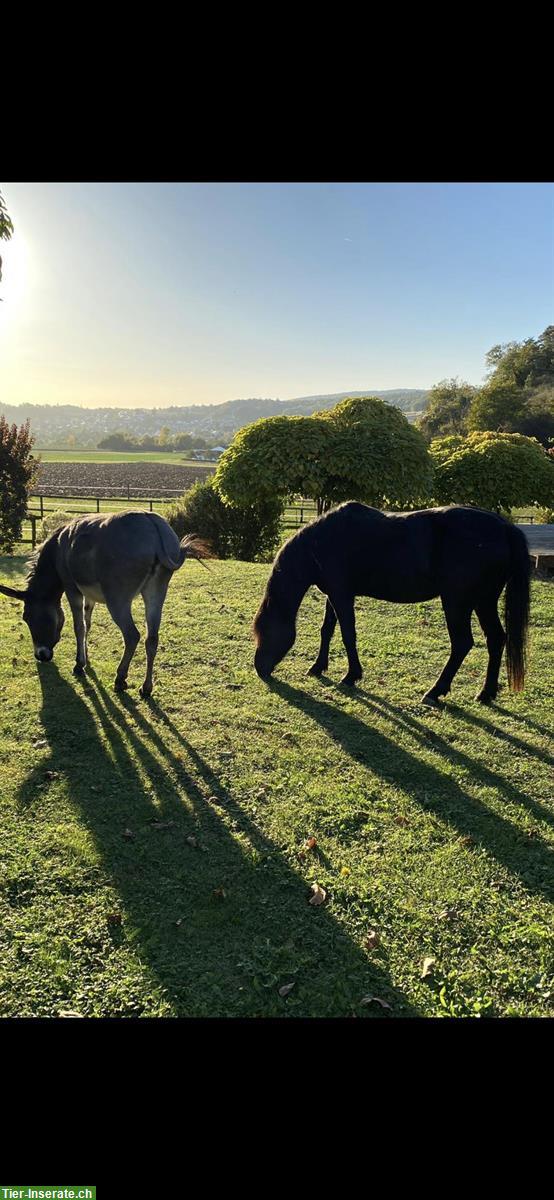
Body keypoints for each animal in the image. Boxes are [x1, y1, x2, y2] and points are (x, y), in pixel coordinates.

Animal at [254, 504, 532, 705]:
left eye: (266, 632)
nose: (259, 668)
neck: (321, 542)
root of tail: (504, 528)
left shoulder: (342, 595)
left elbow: (347, 634)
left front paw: (351, 675)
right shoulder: (334, 595)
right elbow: (327, 630)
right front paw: (318, 667)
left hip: (457, 602)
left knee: (462, 643)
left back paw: (435, 691)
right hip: (484, 601)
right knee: (496, 639)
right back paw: (485, 693)